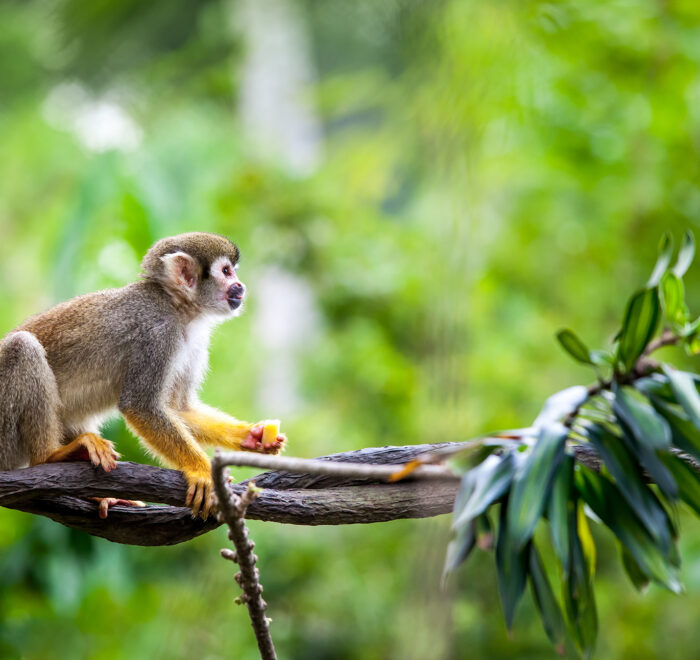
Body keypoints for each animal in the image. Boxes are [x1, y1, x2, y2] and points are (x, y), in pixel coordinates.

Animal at [0, 232, 286, 519]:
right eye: (226, 272)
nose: (240, 286)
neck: (176, 307)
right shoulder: (156, 333)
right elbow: (140, 406)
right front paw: (201, 469)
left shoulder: (193, 341)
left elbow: (178, 409)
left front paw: (252, 436)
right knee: (22, 346)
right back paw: (51, 455)